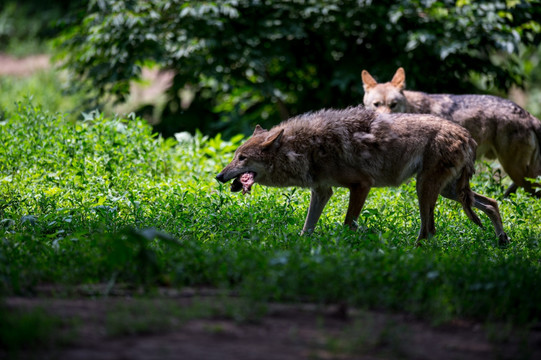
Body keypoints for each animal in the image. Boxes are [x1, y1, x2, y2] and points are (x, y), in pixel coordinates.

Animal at [214, 107, 506, 246]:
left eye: (242, 158)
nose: (218, 176)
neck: (305, 148)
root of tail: (466, 135)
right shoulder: (322, 191)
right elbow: (307, 229)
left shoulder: (361, 185)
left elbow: (348, 223)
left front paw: (366, 238)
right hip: (447, 191)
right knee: (492, 203)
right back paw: (503, 242)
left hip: (425, 188)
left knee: (429, 230)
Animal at [360, 67, 540, 197]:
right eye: (376, 104)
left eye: (393, 104)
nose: (385, 118)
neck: (413, 108)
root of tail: (529, 115)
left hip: (514, 170)